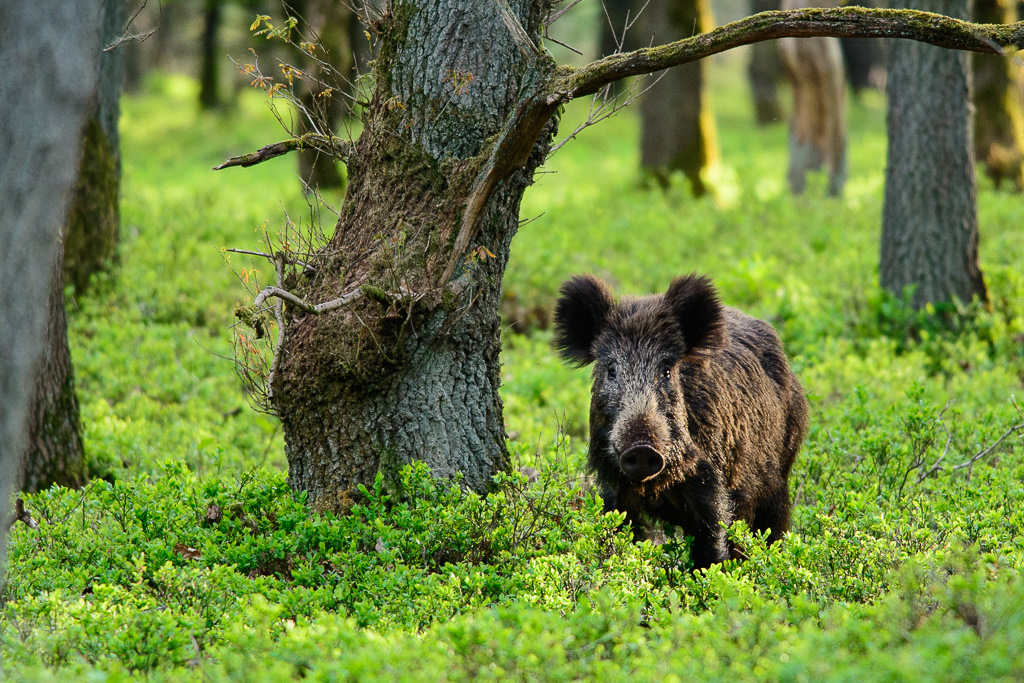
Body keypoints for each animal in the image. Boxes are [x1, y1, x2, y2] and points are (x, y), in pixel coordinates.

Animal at [553, 274, 808, 569]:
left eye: (666, 370)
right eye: (611, 370)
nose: (642, 448)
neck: (657, 485)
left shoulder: (711, 480)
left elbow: (712, 543)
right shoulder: (613, 485)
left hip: (780, 470)